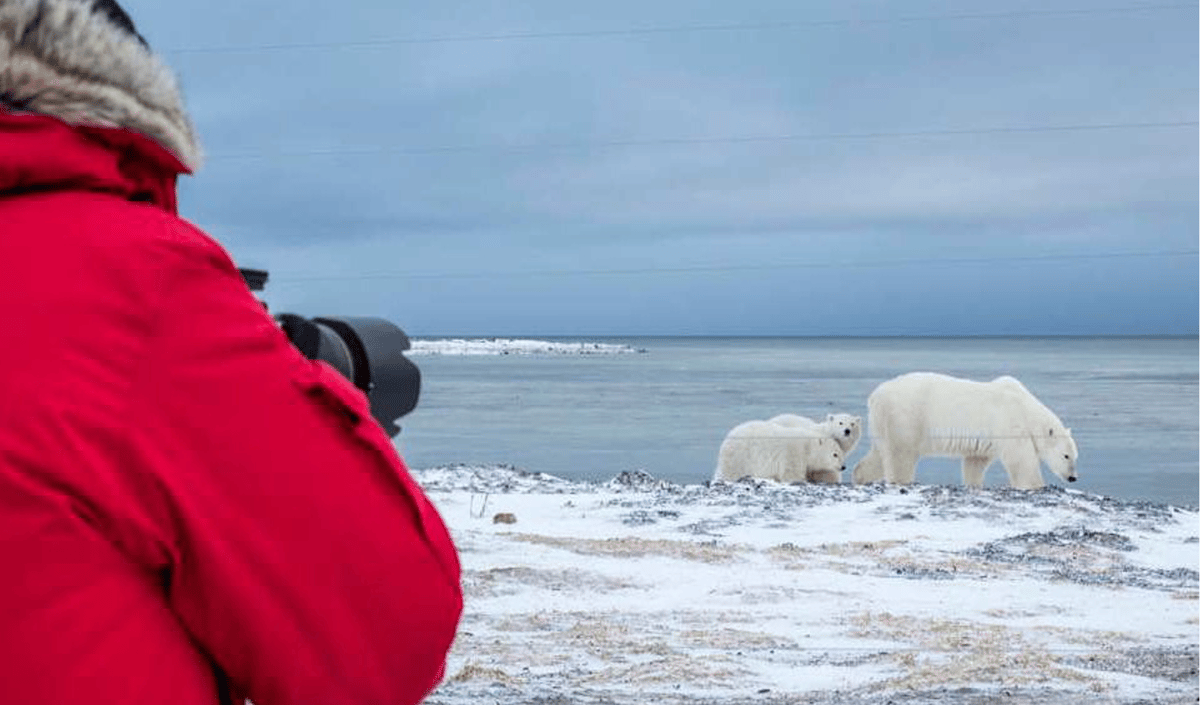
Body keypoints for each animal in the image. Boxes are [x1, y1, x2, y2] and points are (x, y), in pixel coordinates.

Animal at [710, 419, 844, 484]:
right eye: (835, 454)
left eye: (840, 453)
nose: (843, 467)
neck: (808, 446)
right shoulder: (793, 453)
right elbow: (791, 474)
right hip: (740, 457)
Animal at [854, 369, 1080, 489]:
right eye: (1066, 456)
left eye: (1075, 456)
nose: (1073, 477)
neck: (1025, 407)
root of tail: (875, 395)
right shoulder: (1009, 424)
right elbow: (1021, 460)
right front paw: (1035, 485)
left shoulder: (987, 439)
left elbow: (975, 462)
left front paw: (974, 483)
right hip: (905, 416)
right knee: (901, 455)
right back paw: (902, 481)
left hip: (882, 423)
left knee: (879, 453)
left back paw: (861, 477)